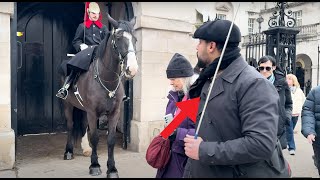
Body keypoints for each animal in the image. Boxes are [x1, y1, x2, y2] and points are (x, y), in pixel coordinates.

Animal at [60, 13, 138, 177]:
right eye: (119, 38)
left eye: (134, 39)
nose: (132, 69)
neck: (107, 78)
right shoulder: (92, 112)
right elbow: (95, 137)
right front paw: (95, 165)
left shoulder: (114, 112)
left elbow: (111, 139)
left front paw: (112, 168)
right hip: (67, 104)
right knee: (70, 125)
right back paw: (69, 151)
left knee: (83, 125)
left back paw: (85, 148)